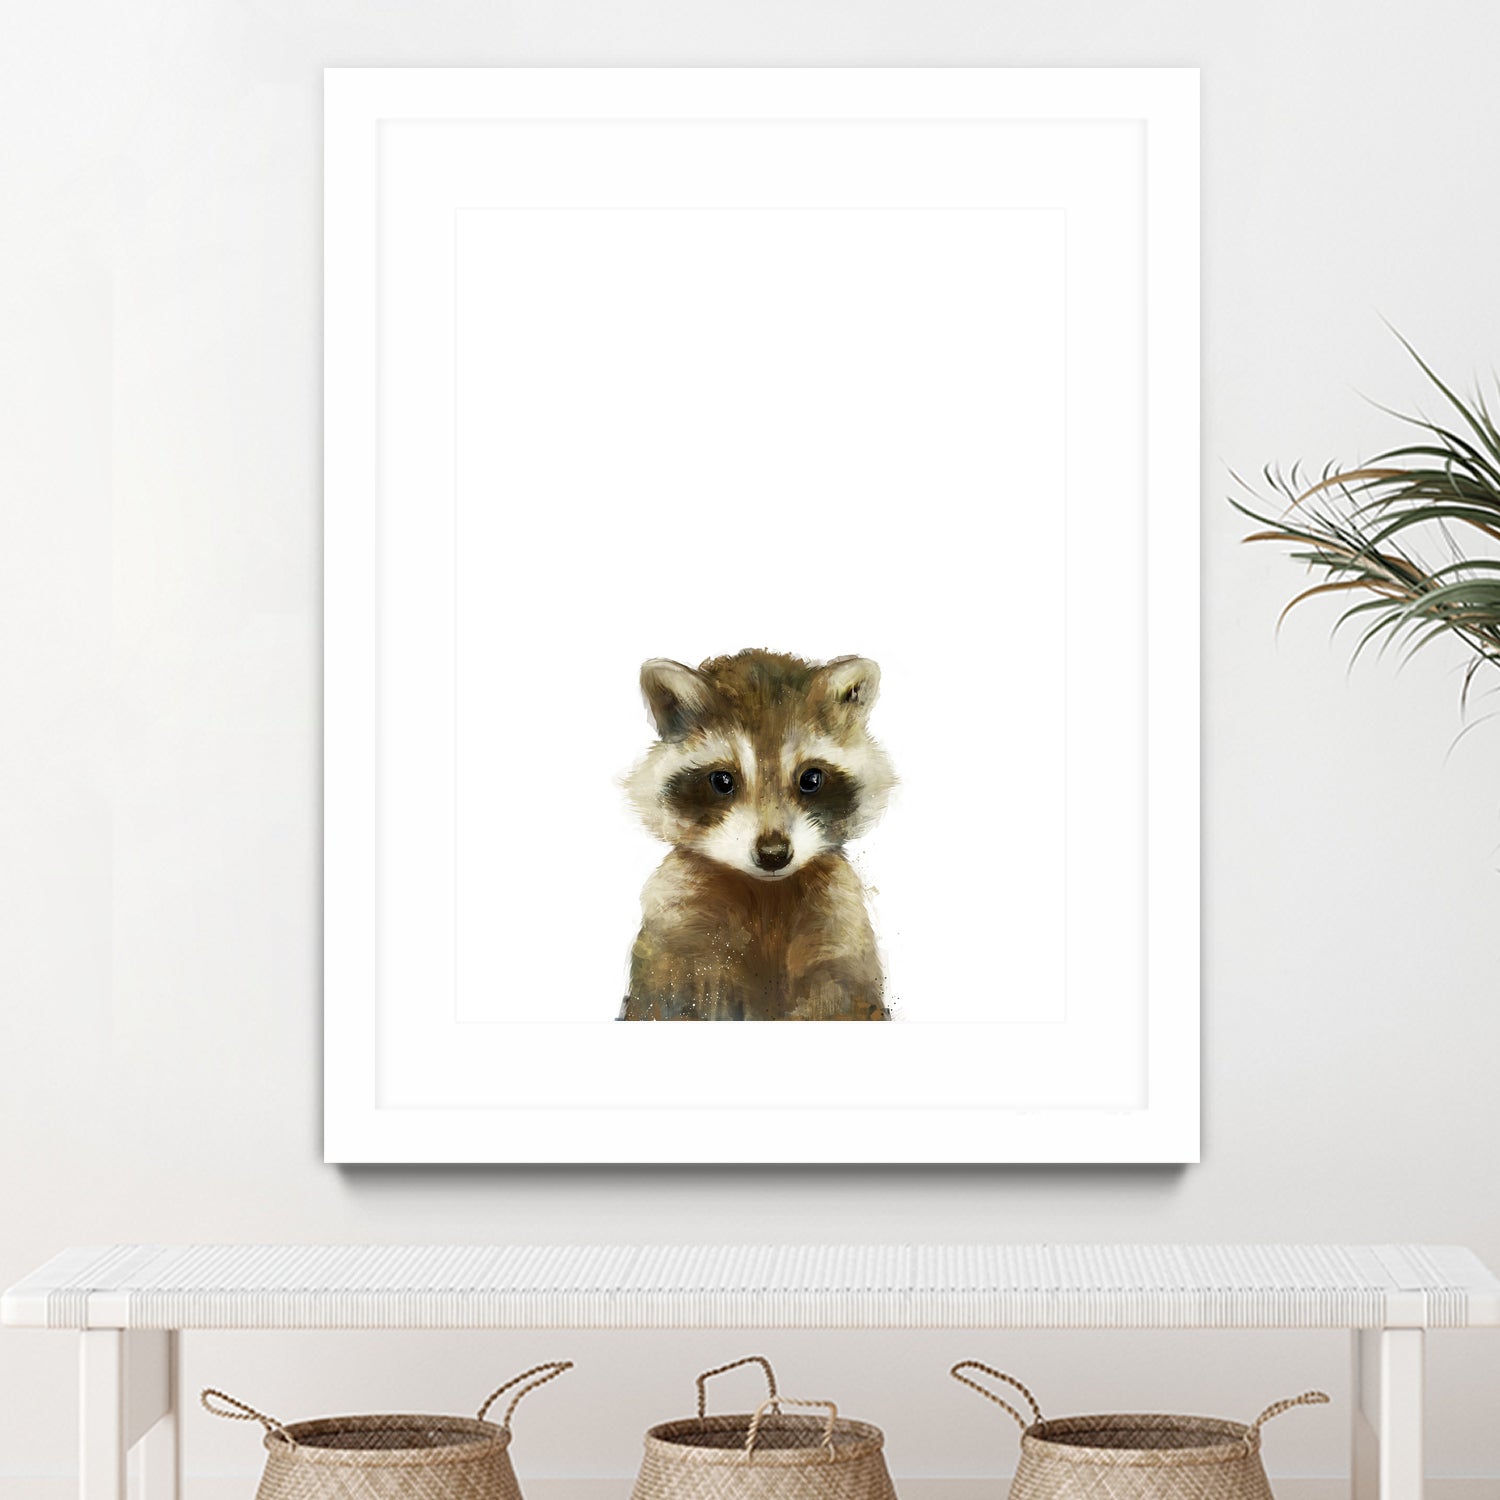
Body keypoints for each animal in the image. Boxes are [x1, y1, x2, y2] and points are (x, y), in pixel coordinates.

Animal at [619, 649, 895, 1021]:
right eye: (722, 780)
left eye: (811, 779)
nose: (773, 853)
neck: (767, 894)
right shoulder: (677, 929)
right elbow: (669, 999)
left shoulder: (840, 927)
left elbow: (844, 999)